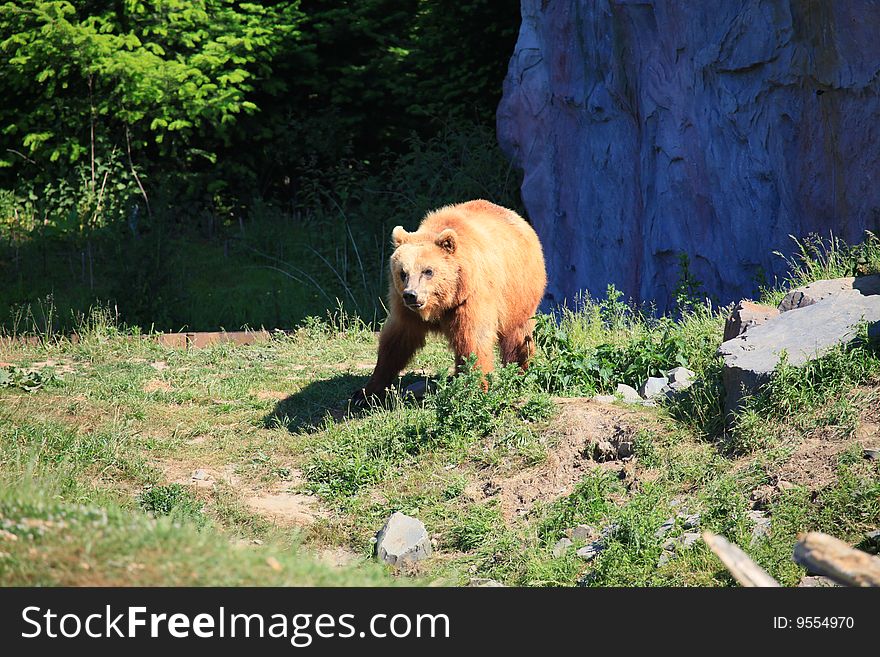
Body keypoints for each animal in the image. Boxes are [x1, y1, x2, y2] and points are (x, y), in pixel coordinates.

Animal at [354, 197, 548, 402]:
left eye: (428, 271)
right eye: (402, 272)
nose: (411, 295)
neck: (444, 302)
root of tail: (519, 219)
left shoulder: (471, 298)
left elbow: (473, 340)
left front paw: (476, 389)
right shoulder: (405, 310)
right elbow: (396, 342)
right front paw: (365, 392)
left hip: (518, 294)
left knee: (519, 337)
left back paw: (520, 371)